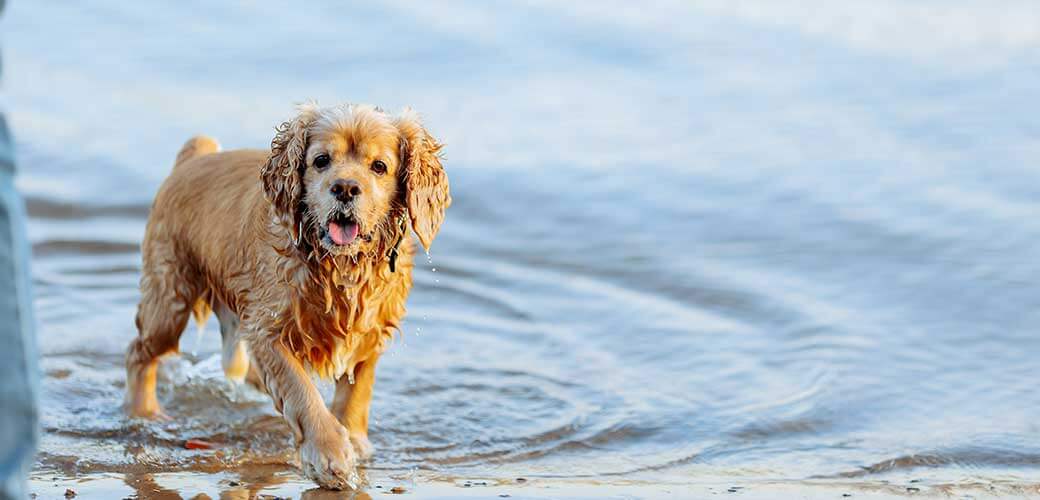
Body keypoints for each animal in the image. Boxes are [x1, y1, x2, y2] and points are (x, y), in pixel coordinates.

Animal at [123, 102, 449, 486]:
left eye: (379, 166)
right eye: (321, 160)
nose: (345, 188)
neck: (338, 266)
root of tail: (194, 158)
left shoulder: (370, 332)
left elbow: (357, 392)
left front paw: (354, 439)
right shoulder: (268, 330)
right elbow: (300, 390)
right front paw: (329, 453)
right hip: (169, 300)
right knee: (139, 353)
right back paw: (145, 412)